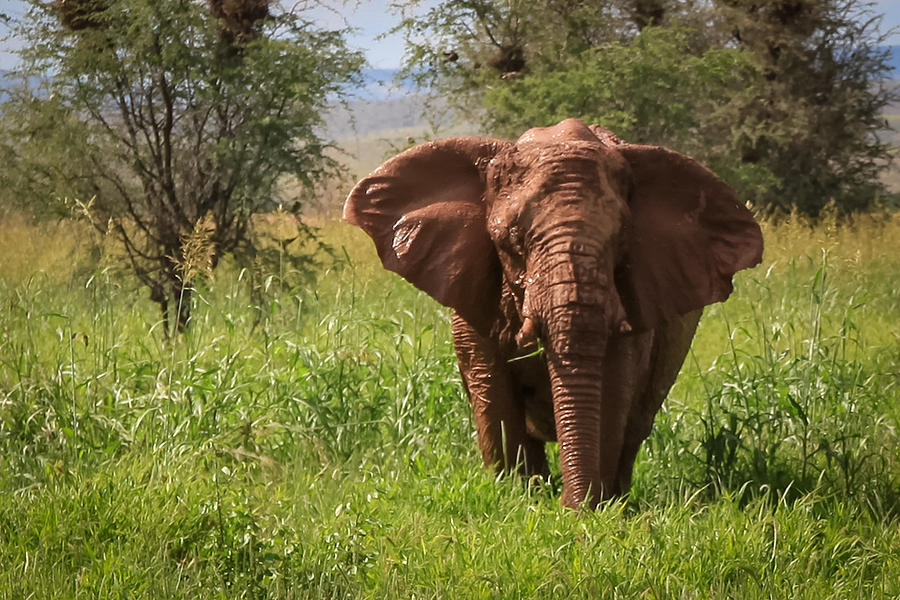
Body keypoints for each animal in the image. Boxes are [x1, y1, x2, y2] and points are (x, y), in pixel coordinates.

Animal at [342, 117, 764, 506]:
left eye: (621, 240)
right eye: (511, 240)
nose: (569, 506)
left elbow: (613, 387)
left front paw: (594, 506)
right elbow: (492, 388)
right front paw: (520, 498)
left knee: (637, 423)